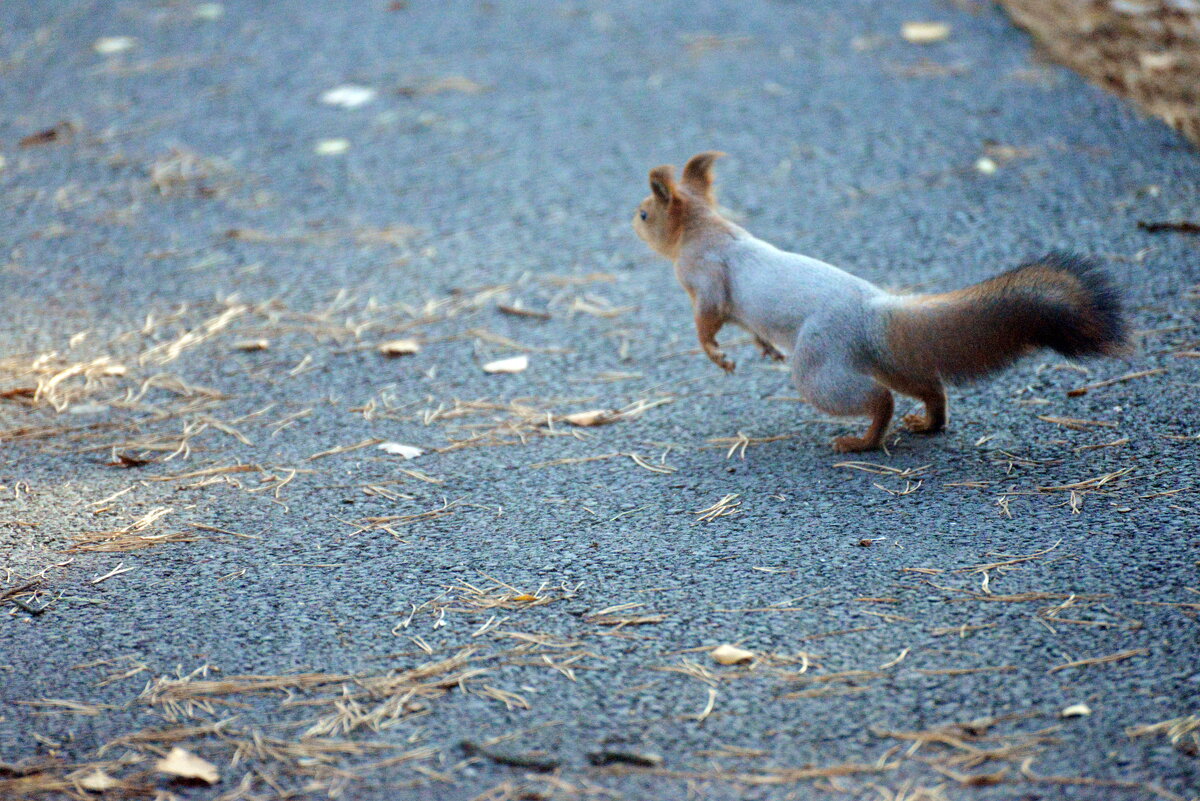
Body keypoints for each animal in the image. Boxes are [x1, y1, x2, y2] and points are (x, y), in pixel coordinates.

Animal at [633, 149, 1128, 450]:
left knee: (879, 399)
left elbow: (708, 321)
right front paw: (765, 349)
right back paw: (927, 422)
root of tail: (874, 311)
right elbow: (751, 330)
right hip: (886, 358)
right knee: (928, 387)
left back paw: (861, 441)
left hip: (820, 364)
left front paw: (717, 355)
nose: (630, 223)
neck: (706, 228)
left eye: (644, 213)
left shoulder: (707, 279)